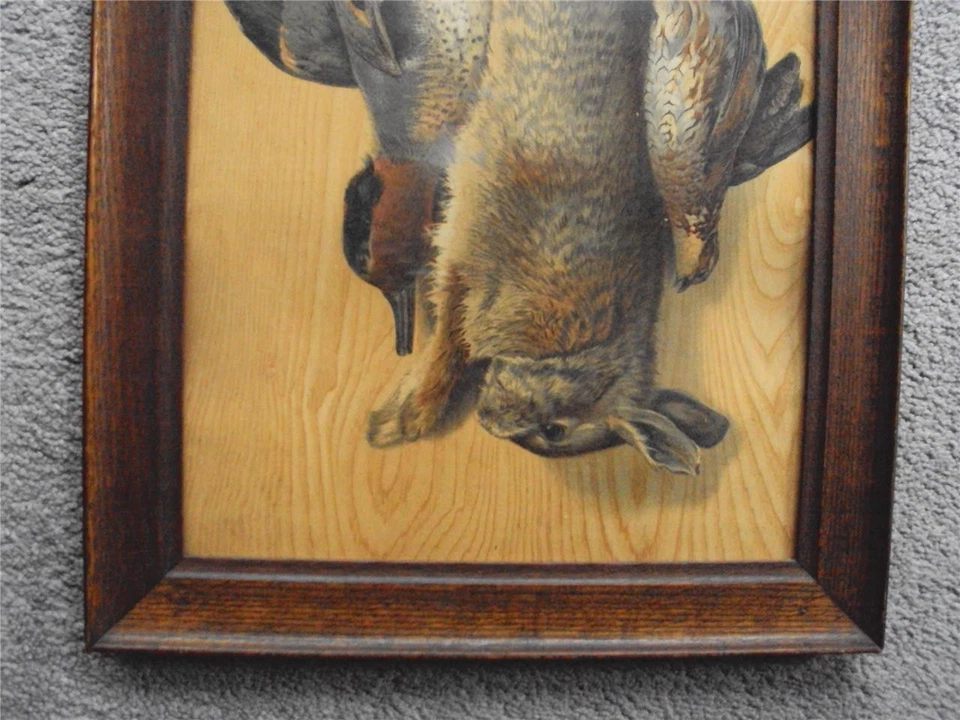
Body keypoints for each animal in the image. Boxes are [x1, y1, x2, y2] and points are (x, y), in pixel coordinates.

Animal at [366, 1, 729, 474]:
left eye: (551, 433)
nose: (488, 422)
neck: (577, 348)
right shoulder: (469, 254)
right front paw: (404, 420)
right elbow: (449, 341)